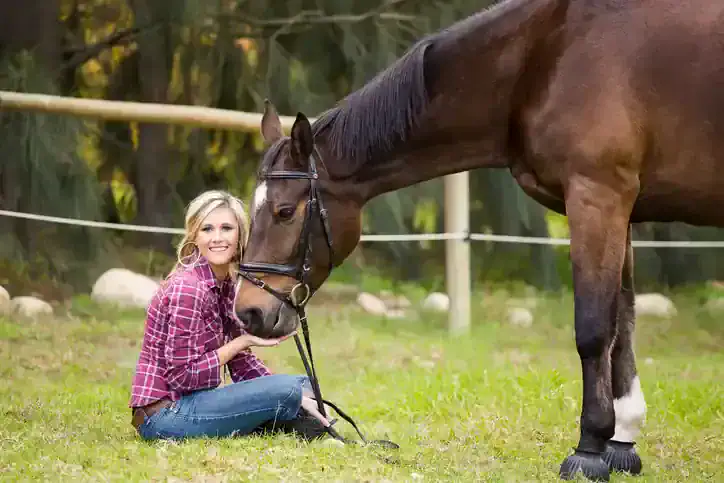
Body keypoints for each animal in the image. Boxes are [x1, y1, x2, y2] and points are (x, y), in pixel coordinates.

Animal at [233, 0, 724, 480]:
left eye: (284, 212)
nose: (248, 311)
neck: (546, 55)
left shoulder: (597, 197)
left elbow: (593, 329)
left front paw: (589, 449)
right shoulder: (620, 209)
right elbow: (623, 322)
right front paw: (622, 444)